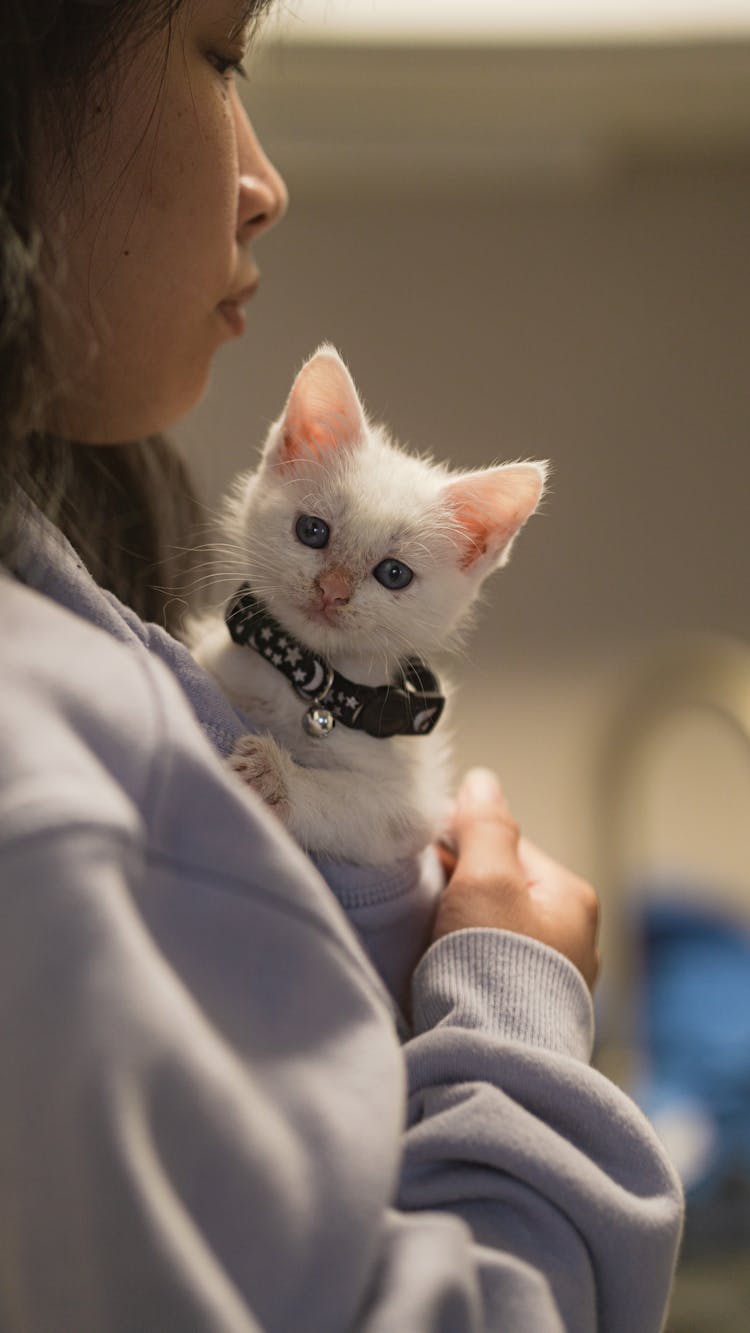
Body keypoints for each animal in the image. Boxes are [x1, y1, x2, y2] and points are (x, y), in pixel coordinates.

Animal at [190, 343, 548, 863]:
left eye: (394, 574)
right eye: (312, 530)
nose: (332, 589)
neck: (316, 690)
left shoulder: (414, 807)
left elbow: (355, 804)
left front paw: (276, 778)